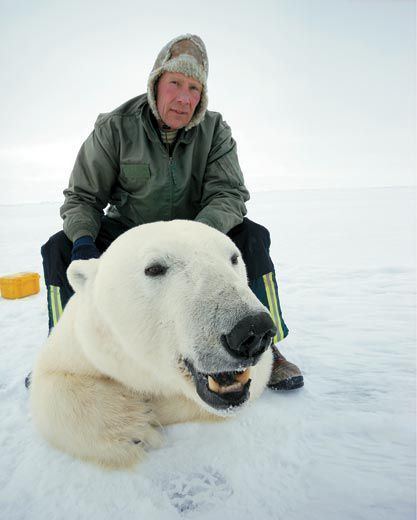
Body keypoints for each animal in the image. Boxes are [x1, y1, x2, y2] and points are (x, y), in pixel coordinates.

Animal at [30, 219, 276, 468]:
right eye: (154, 268)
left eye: (234, 257)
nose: (253, 330)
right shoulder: (84, 341)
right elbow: (49, 387)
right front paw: (135, 425)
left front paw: (146, 412)